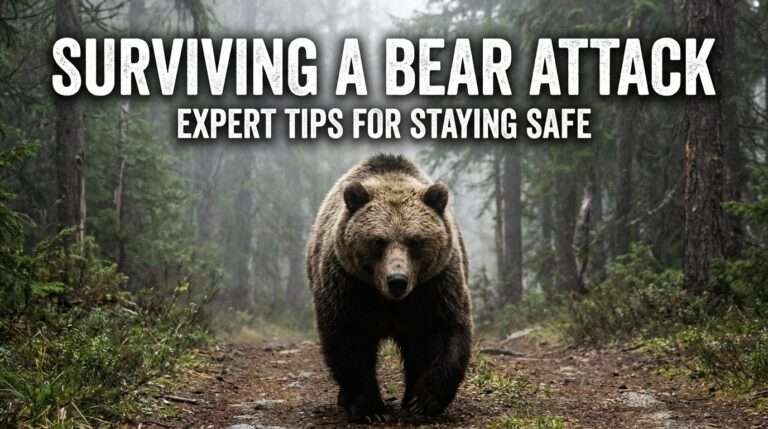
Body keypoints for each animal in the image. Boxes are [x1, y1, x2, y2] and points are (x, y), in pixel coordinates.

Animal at [305, 153, 472, 423]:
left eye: (414, 241)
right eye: (378, 241)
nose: (397, 280)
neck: (390, 302)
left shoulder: (434, 287)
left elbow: (443, 332)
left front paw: (422, 402)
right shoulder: (350, 286)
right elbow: (349, 340)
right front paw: (371, 409)